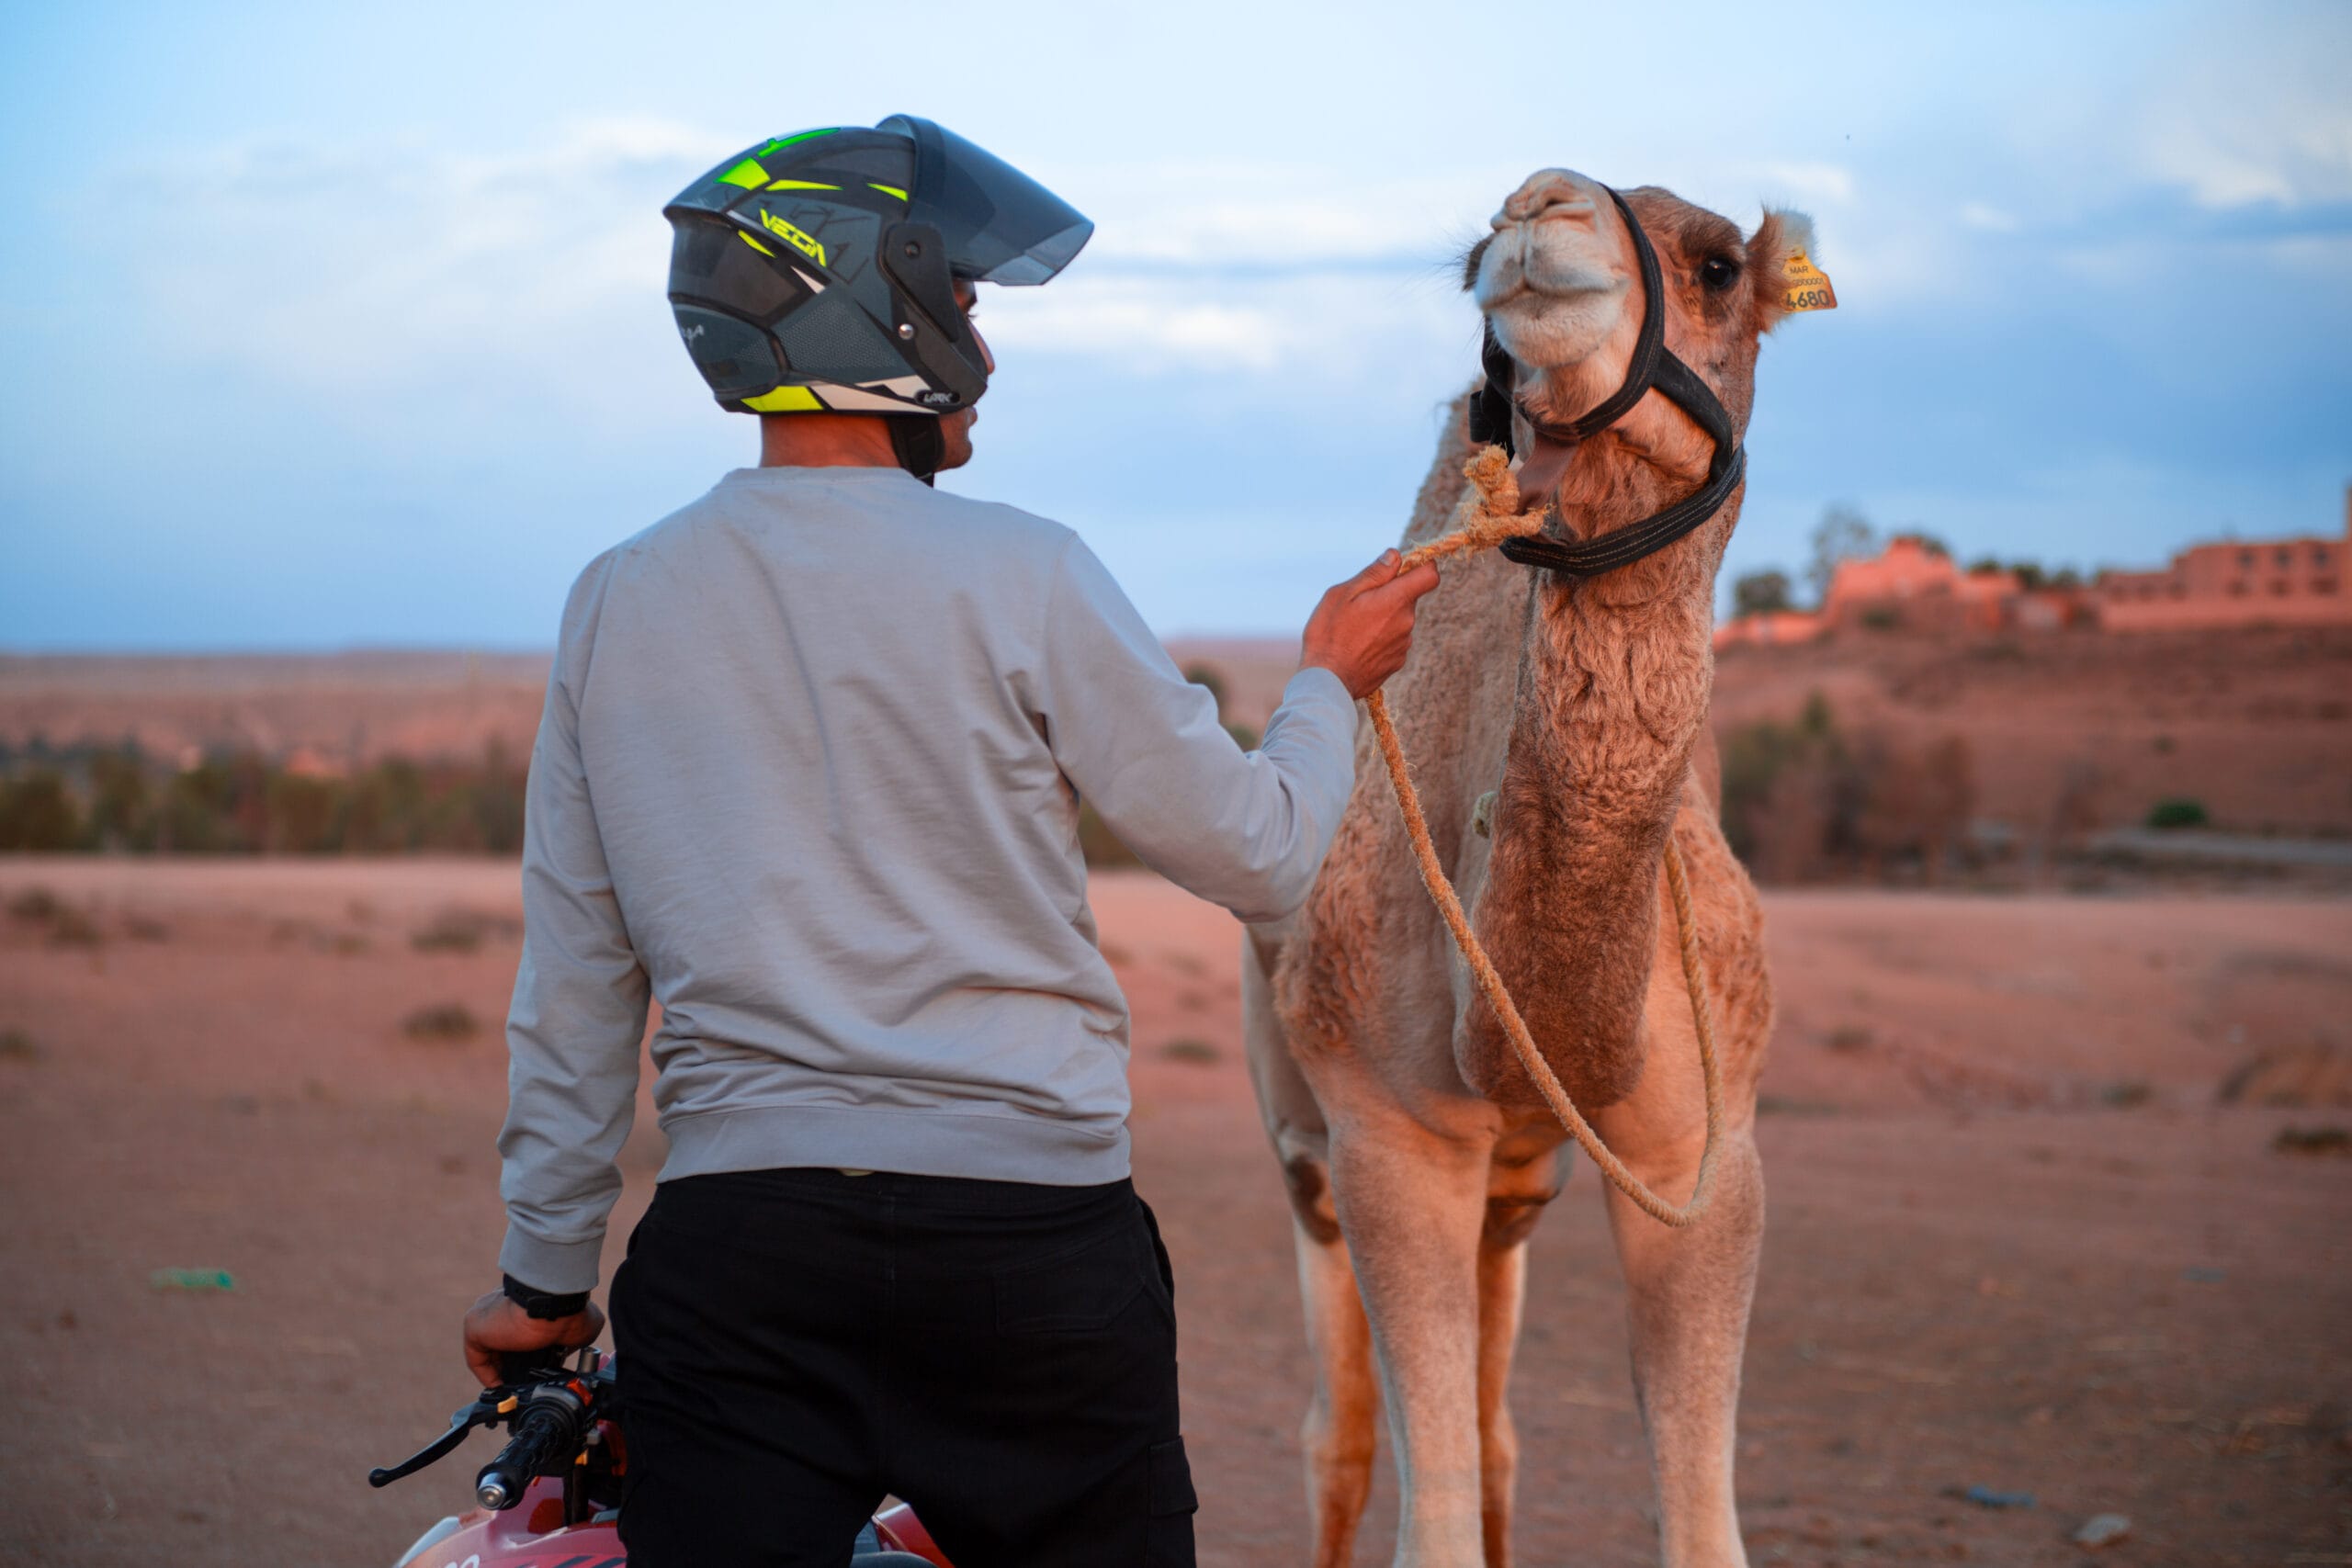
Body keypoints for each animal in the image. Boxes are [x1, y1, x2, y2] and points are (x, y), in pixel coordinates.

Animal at [1242, 168, 1817, 1568]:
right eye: (1468, 265)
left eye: (1716, 264)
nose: (1537, 210)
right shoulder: (1387, 1141)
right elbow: (1426, 1506)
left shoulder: (1705, 1154)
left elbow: (1696, 1520)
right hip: (1304, 1159)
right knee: (1337, 1439)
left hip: (1513, 1191)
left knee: (1497, 1427)